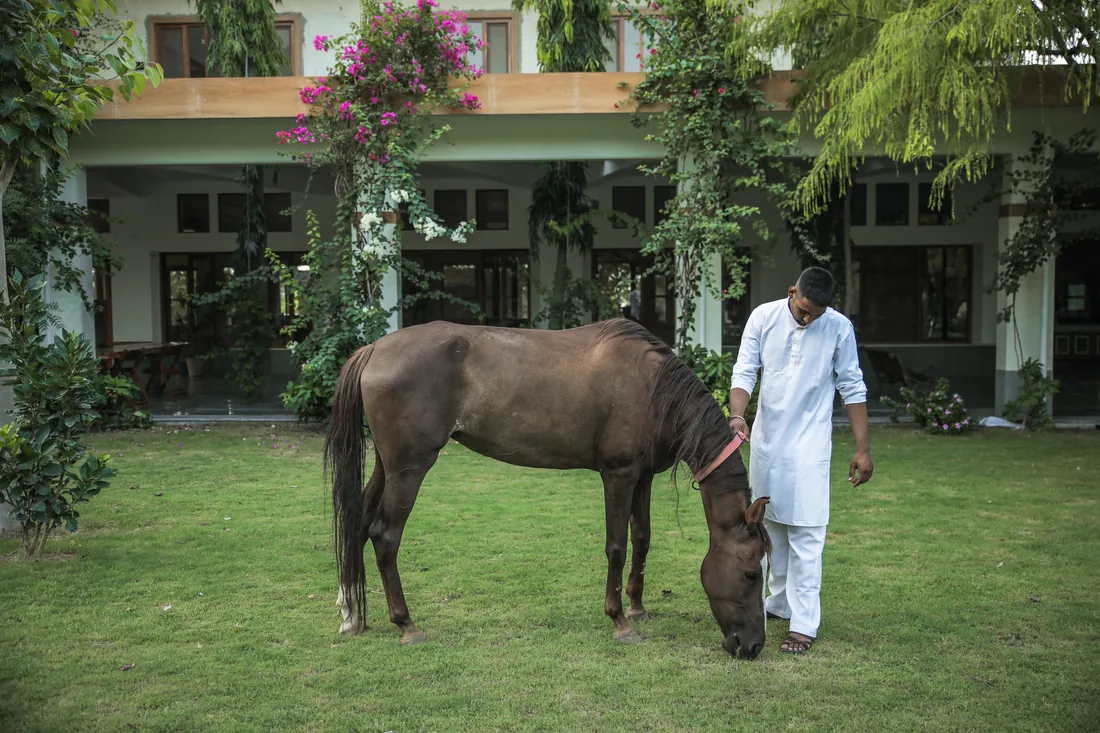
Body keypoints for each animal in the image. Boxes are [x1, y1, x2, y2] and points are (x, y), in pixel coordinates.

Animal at [323, 318, 772, 659]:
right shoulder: (618, 475)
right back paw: (406, 624)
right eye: (751, 573)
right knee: (385, 535)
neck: (653, 388)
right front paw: (620, 621)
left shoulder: (642, 476)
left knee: (358, 524)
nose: (752, 645)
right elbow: (616, 546)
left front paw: (638, 607)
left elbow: (641, 539)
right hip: (410, 469)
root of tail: (374, 349)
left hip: (388, 467)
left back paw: (351, 615)